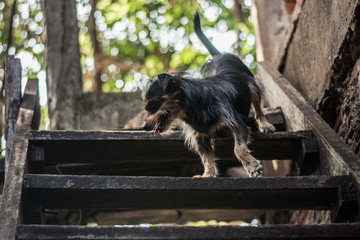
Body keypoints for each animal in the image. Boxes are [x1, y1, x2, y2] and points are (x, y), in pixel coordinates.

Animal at [141, 12, 276, 178]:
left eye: (152, 104)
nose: (144, 127)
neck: (193, 107)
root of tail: (220, 56)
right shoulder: (201, 137)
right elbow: (206, 158)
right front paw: (208, 174)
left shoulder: (236, 124)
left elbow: (238, 148)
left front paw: (252, 167)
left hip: (252, 86)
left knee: (258, 109)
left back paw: (265, 124)